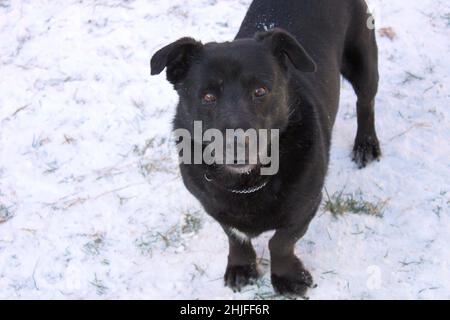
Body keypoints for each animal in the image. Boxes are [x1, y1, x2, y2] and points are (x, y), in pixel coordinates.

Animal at [150, 0, 380, 296]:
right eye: (208, 96)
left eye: (260, 91)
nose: (236, 146)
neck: (246, 182)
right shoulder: (213, 206)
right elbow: (234, 236)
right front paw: (242, 266)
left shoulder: (306, 206)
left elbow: (280, 242)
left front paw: (287, 277)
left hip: (363, 60)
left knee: (366, 102)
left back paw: (366, 144)